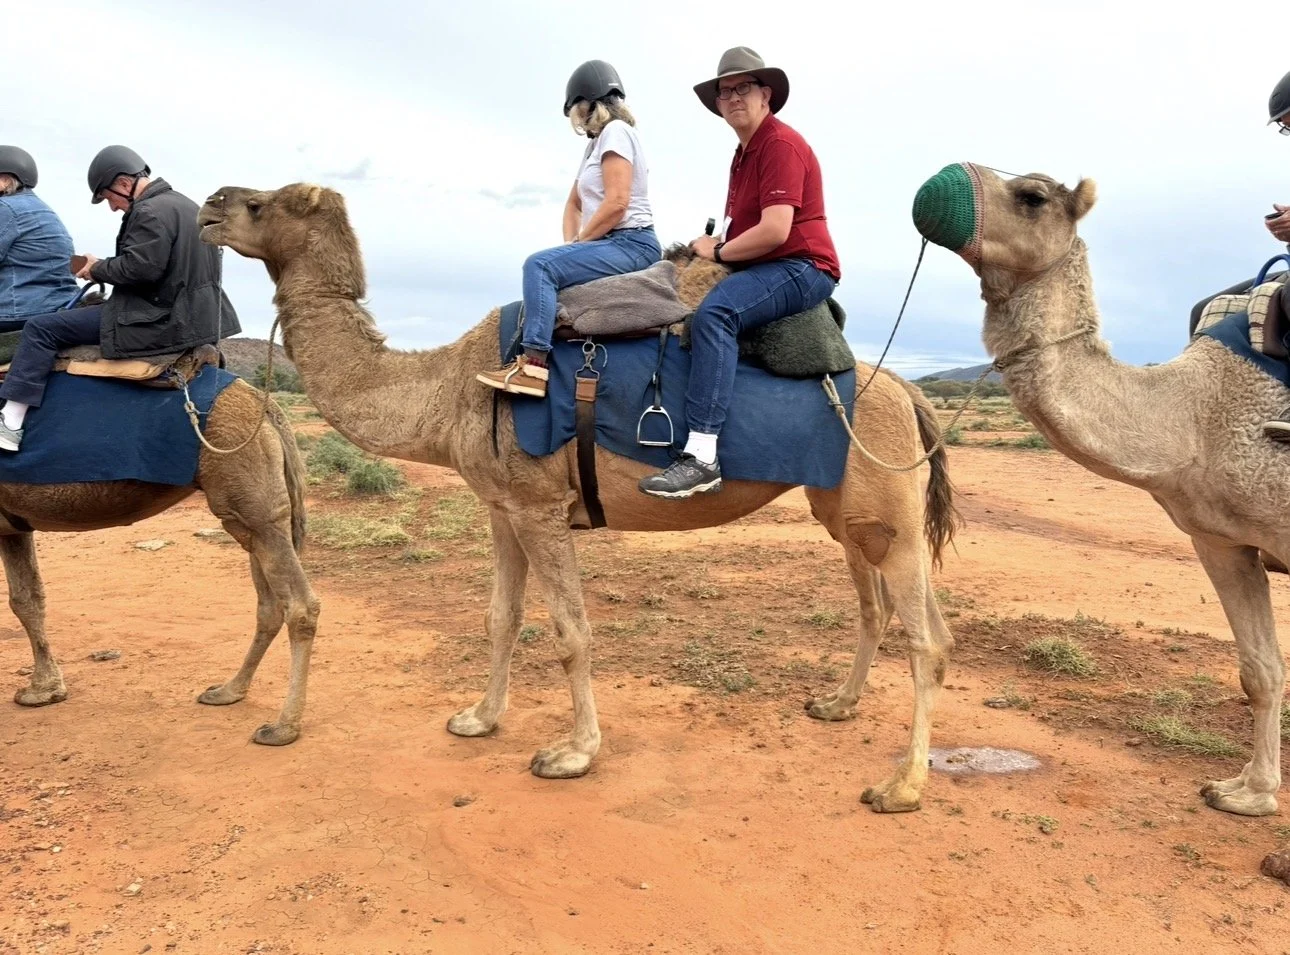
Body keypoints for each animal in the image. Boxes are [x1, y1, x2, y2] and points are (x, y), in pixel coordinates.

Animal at [1, 380, 320, 745]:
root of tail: (260, 402)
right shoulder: (13, 527)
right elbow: (26, 600)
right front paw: (44, 690)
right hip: (250, 508)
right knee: (269, 605)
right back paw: (227, 691)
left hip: (248, 492)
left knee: (300, 605)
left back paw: (283, 727)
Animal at [197, 182, 962, 811]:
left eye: (259, 204)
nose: (207, 206)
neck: (448, 387)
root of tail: (907, 391)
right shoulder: (502, 507)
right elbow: (501, 617)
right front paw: (477, 718)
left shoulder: (539, 506)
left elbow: (571, 630)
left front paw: (572, 753)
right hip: (847, 509)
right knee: (888, 610)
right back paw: (836, 704)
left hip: (886, 506)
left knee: (929, 637)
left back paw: (901, 786)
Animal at [911, 161, 1287, 816]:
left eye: (1032, 195)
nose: (936, 183)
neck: (1195, 416)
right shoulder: (1221, 540)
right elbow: (1260, 670)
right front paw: (1247, 793)